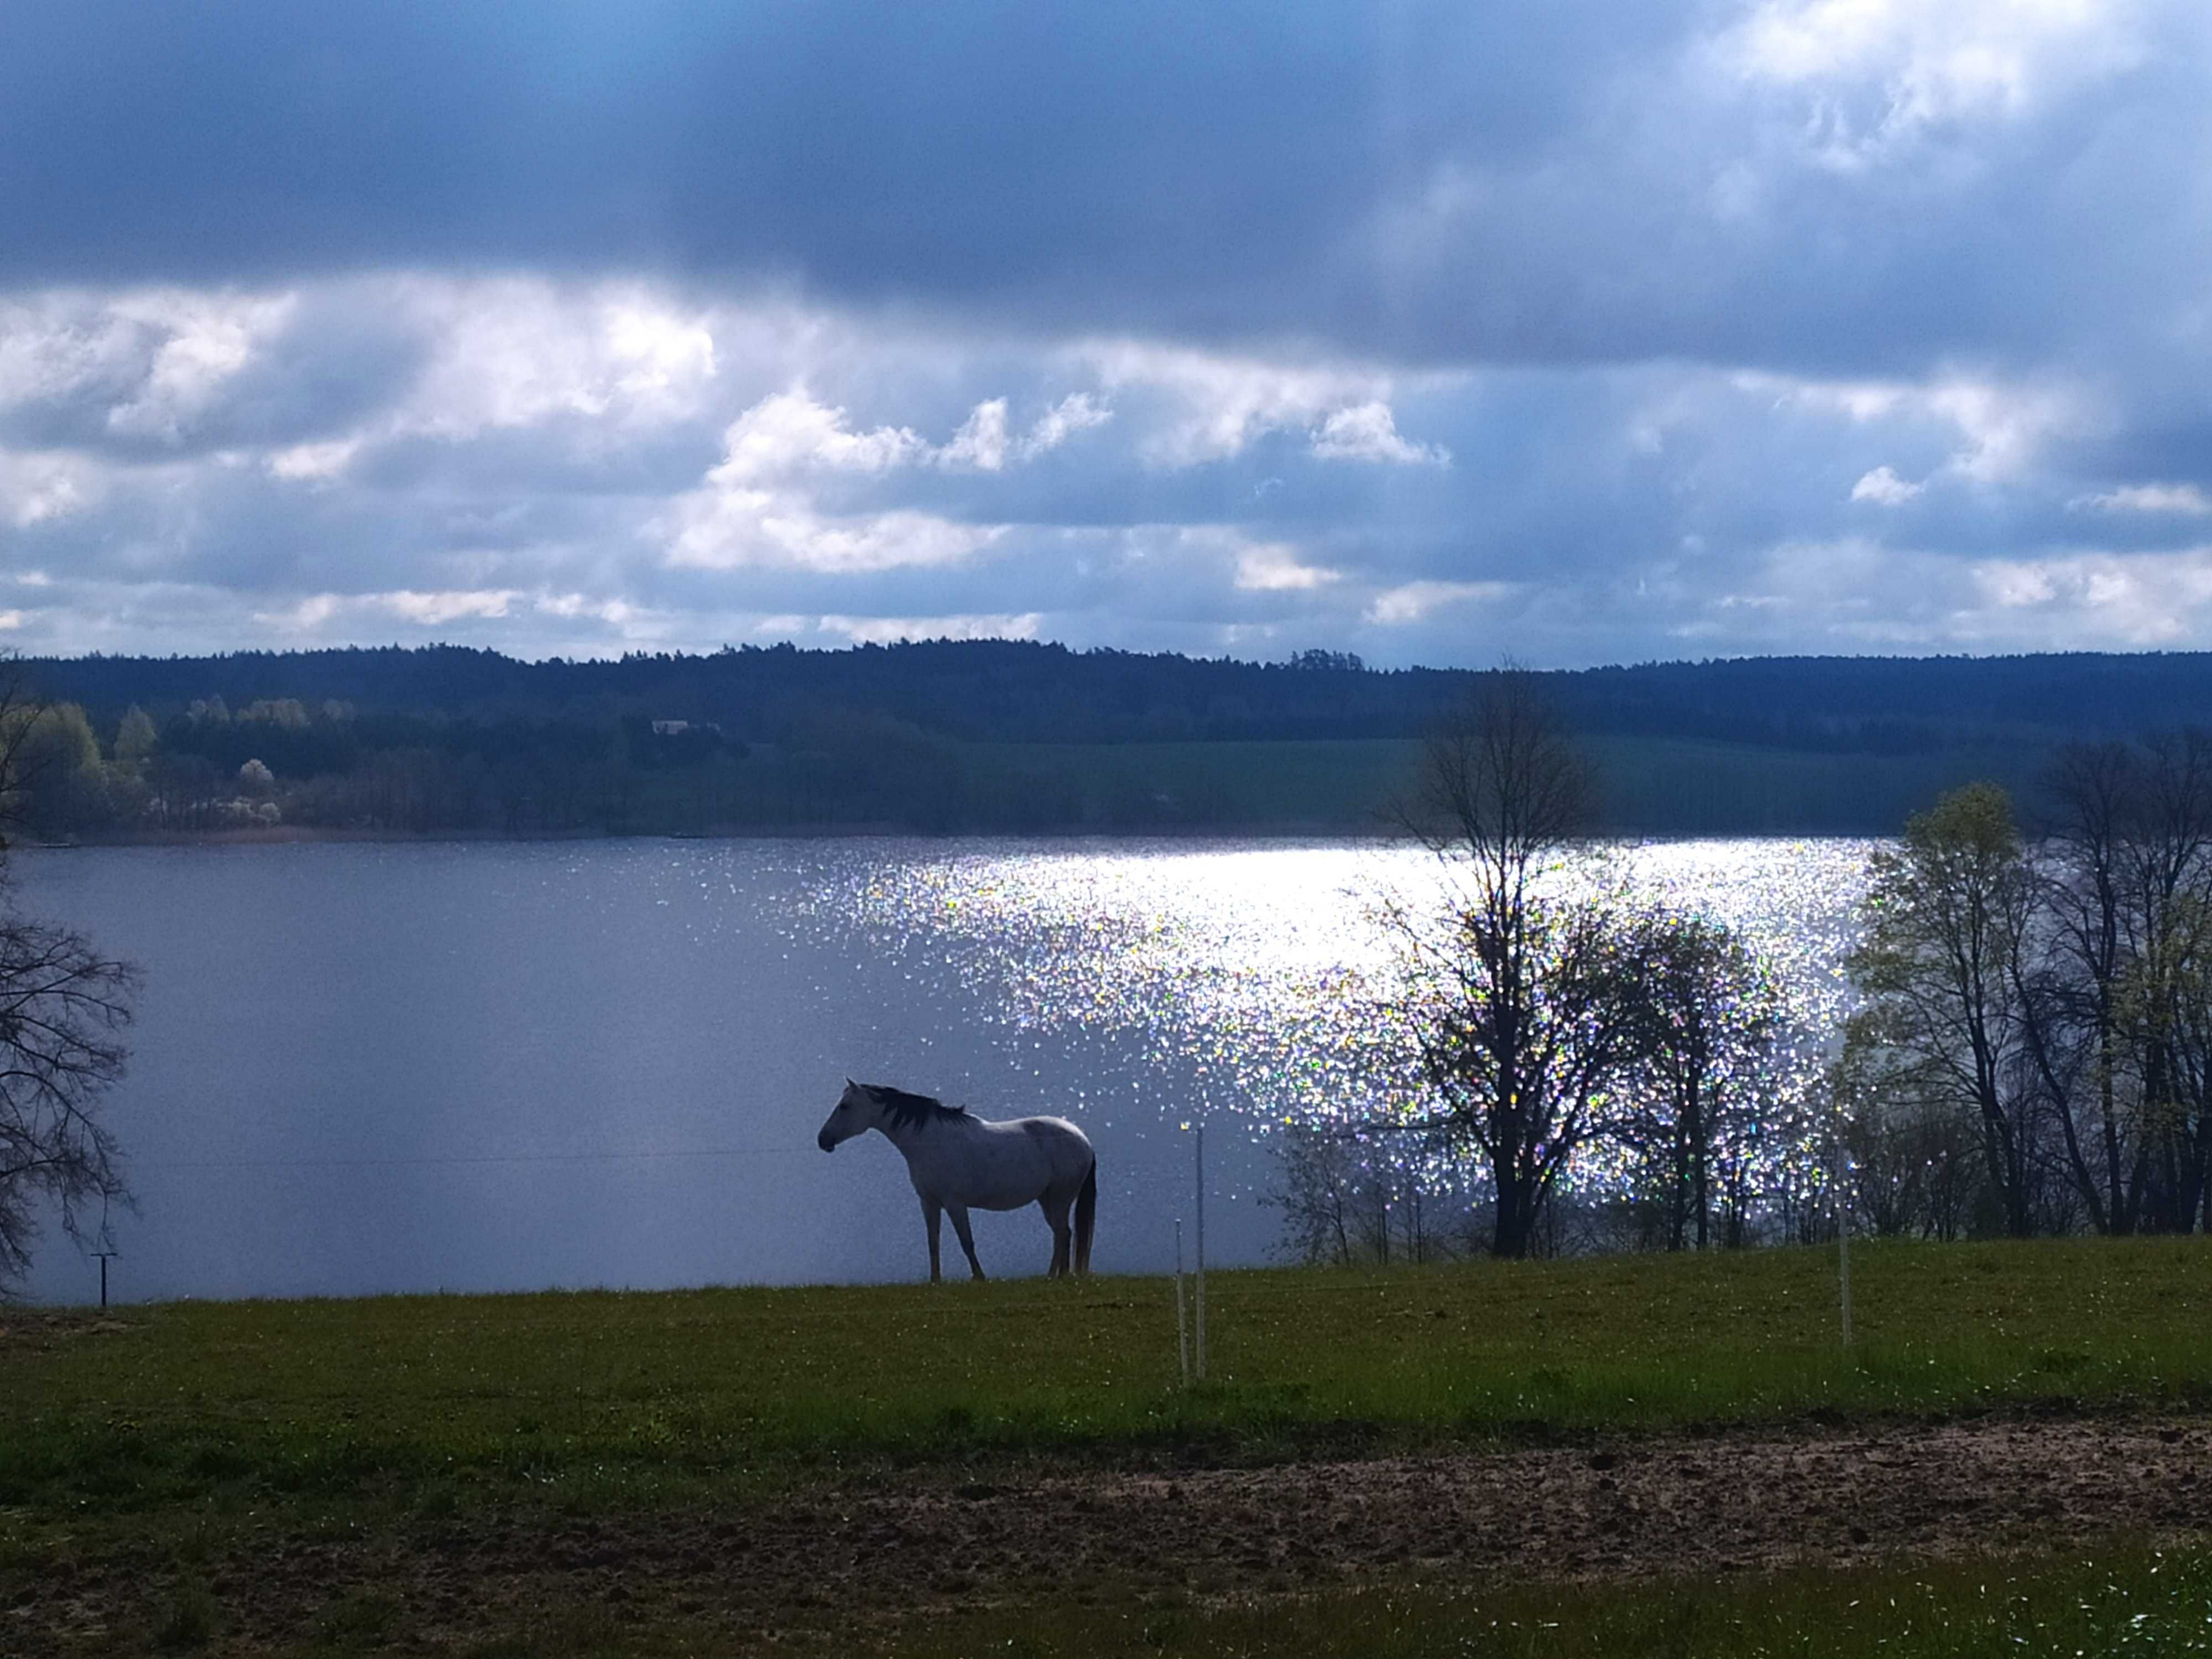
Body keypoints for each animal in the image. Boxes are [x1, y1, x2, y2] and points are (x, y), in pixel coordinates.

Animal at [814, 1084, 1097, 1283]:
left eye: (845, 1106)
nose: (822, 1139)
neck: (929, 1140)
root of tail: (1083, 1139)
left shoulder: (955, 1204)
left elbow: (966, 1242)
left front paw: (979, 1277)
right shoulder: (929, 1203)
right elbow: (933, 1242)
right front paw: (935, 1280)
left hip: (1060, 1198)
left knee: (1063, 1234)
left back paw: (1058, 1276)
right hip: (1047, 1200)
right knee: (1062, 1234)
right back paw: (1056, 1276)